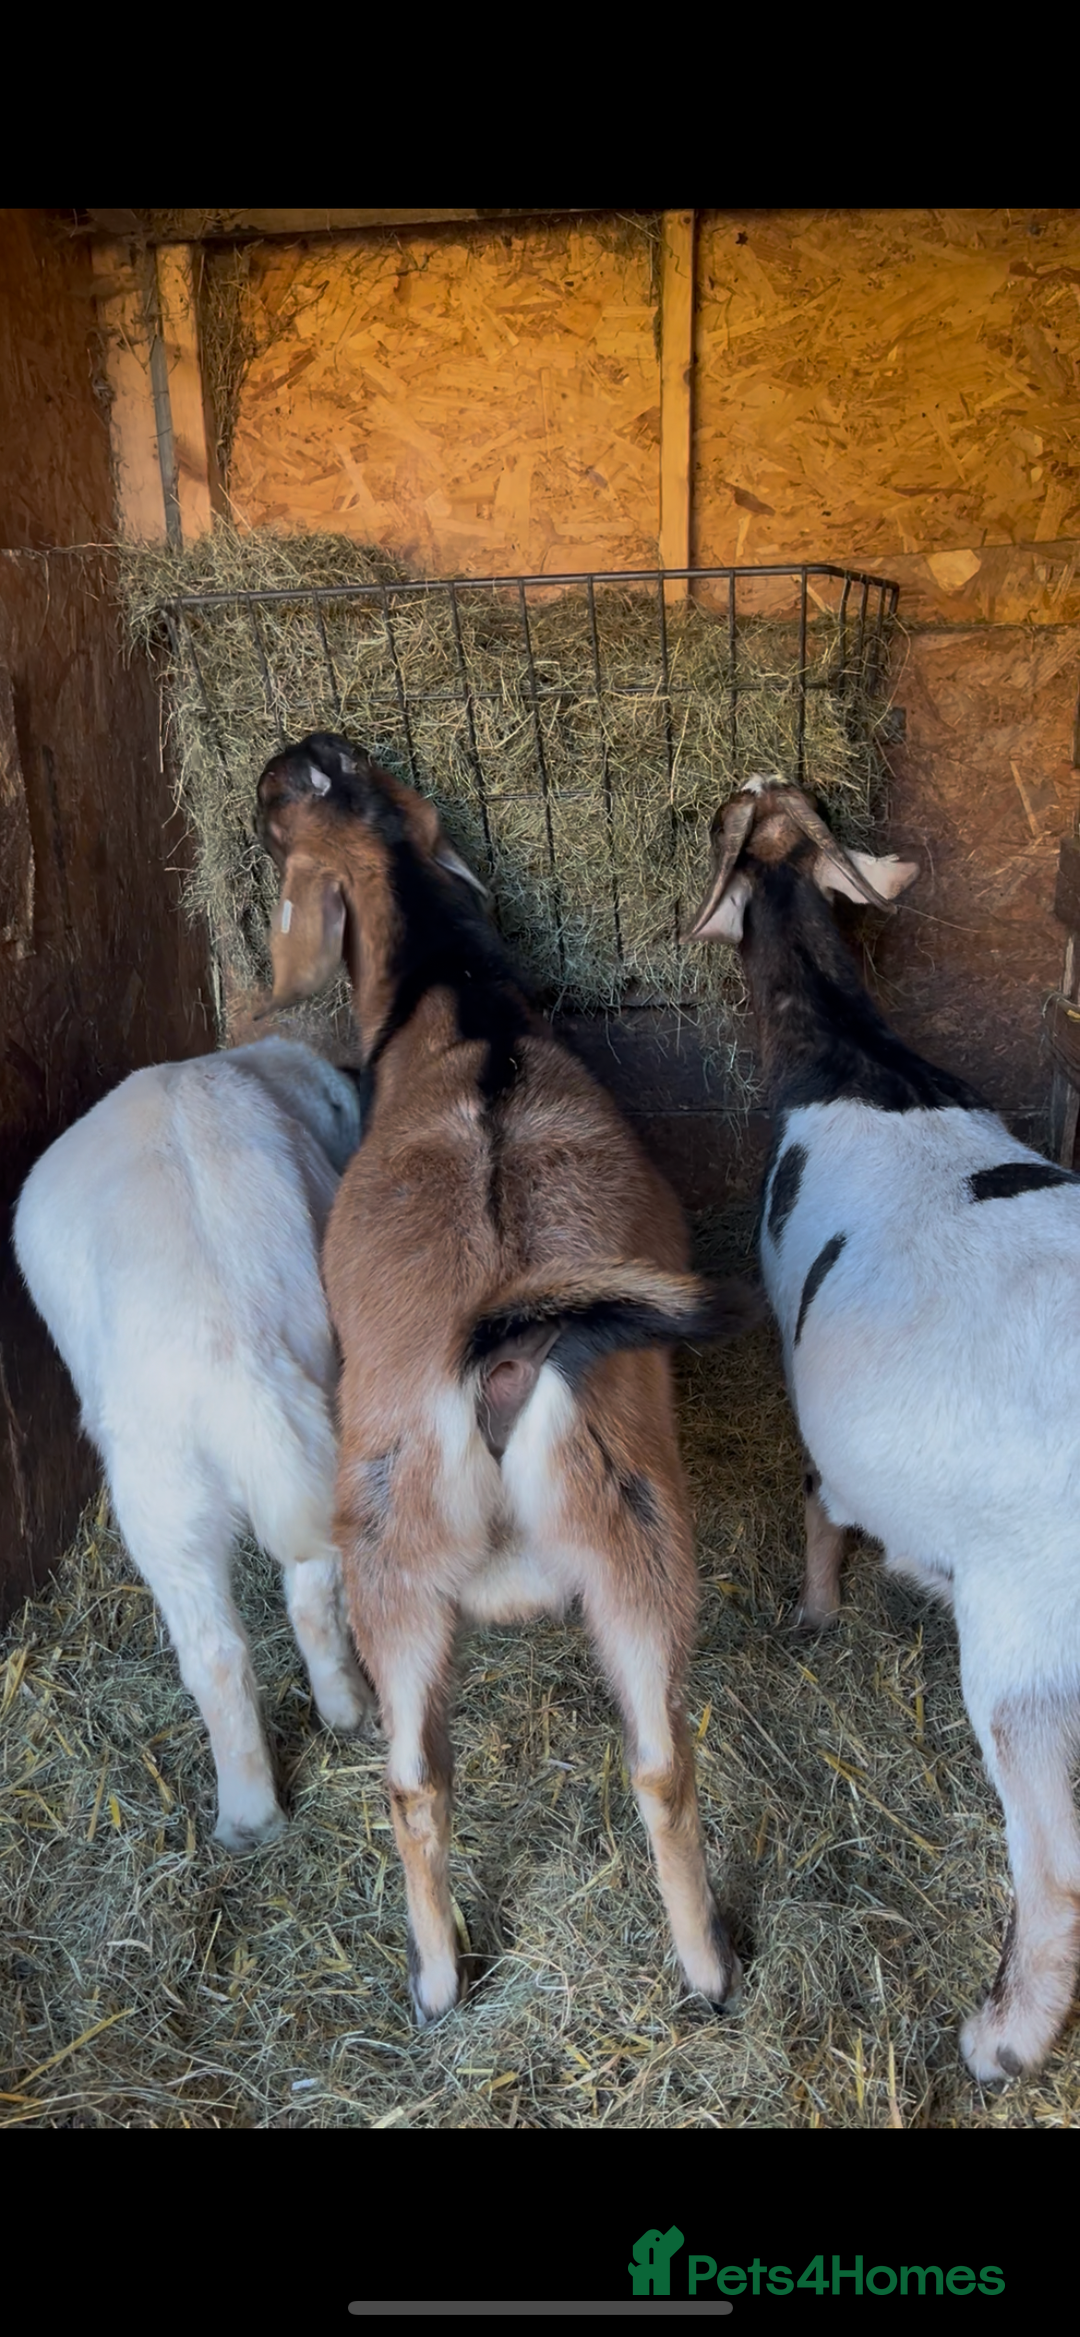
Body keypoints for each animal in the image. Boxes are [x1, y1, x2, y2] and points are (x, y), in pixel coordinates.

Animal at [13, 1038, 373, 1850]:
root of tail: (241, 1358)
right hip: (324, 1448)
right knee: (314, 1593)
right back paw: (346, 1708)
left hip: (164, 1505)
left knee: (217, 1656)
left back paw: (247, 1814)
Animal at [254, 731, 762, 2024]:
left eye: (277, 816)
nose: (293, 754)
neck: (457, 992)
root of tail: (505, 1356)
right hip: (633, 1526)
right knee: (661, 1762)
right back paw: (709, 1969)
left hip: (389, 1546)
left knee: (413, 1783)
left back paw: (438, 1982)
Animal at [686, 774, 1080, 2081]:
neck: (857, 1059)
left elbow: (822, 1499)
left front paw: (814, 1610)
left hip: (1026, 1639)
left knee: (1056, 1865)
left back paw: (999, 2039)